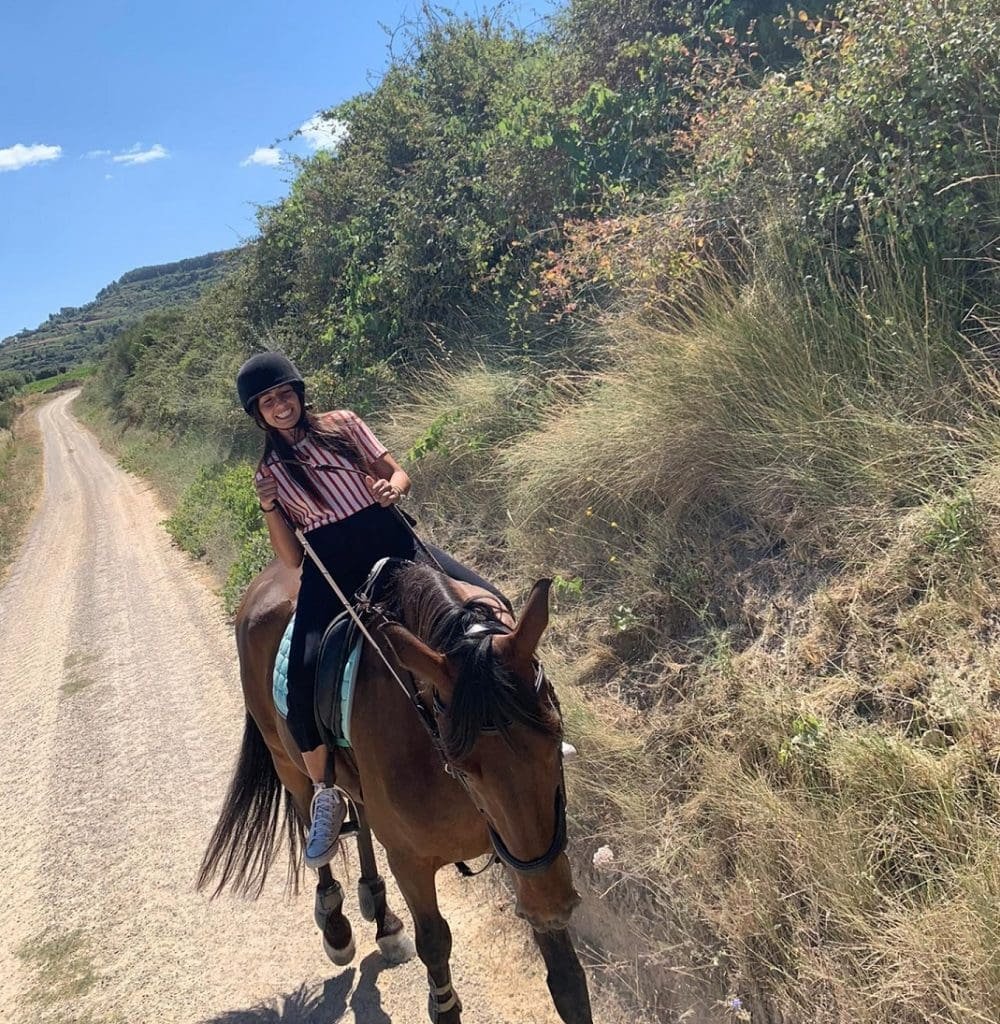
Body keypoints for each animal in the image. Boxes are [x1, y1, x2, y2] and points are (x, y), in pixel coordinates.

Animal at [200, 561, 593, 1024]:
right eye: (463, 766)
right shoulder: (411, 862)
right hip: (287, 763)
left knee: (363, 821)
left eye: (556, 738)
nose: (552, 905)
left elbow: (568, 982)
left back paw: (382, 916)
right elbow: (436, 947)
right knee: (314, 824)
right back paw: (335, 924)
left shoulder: (526, 855)